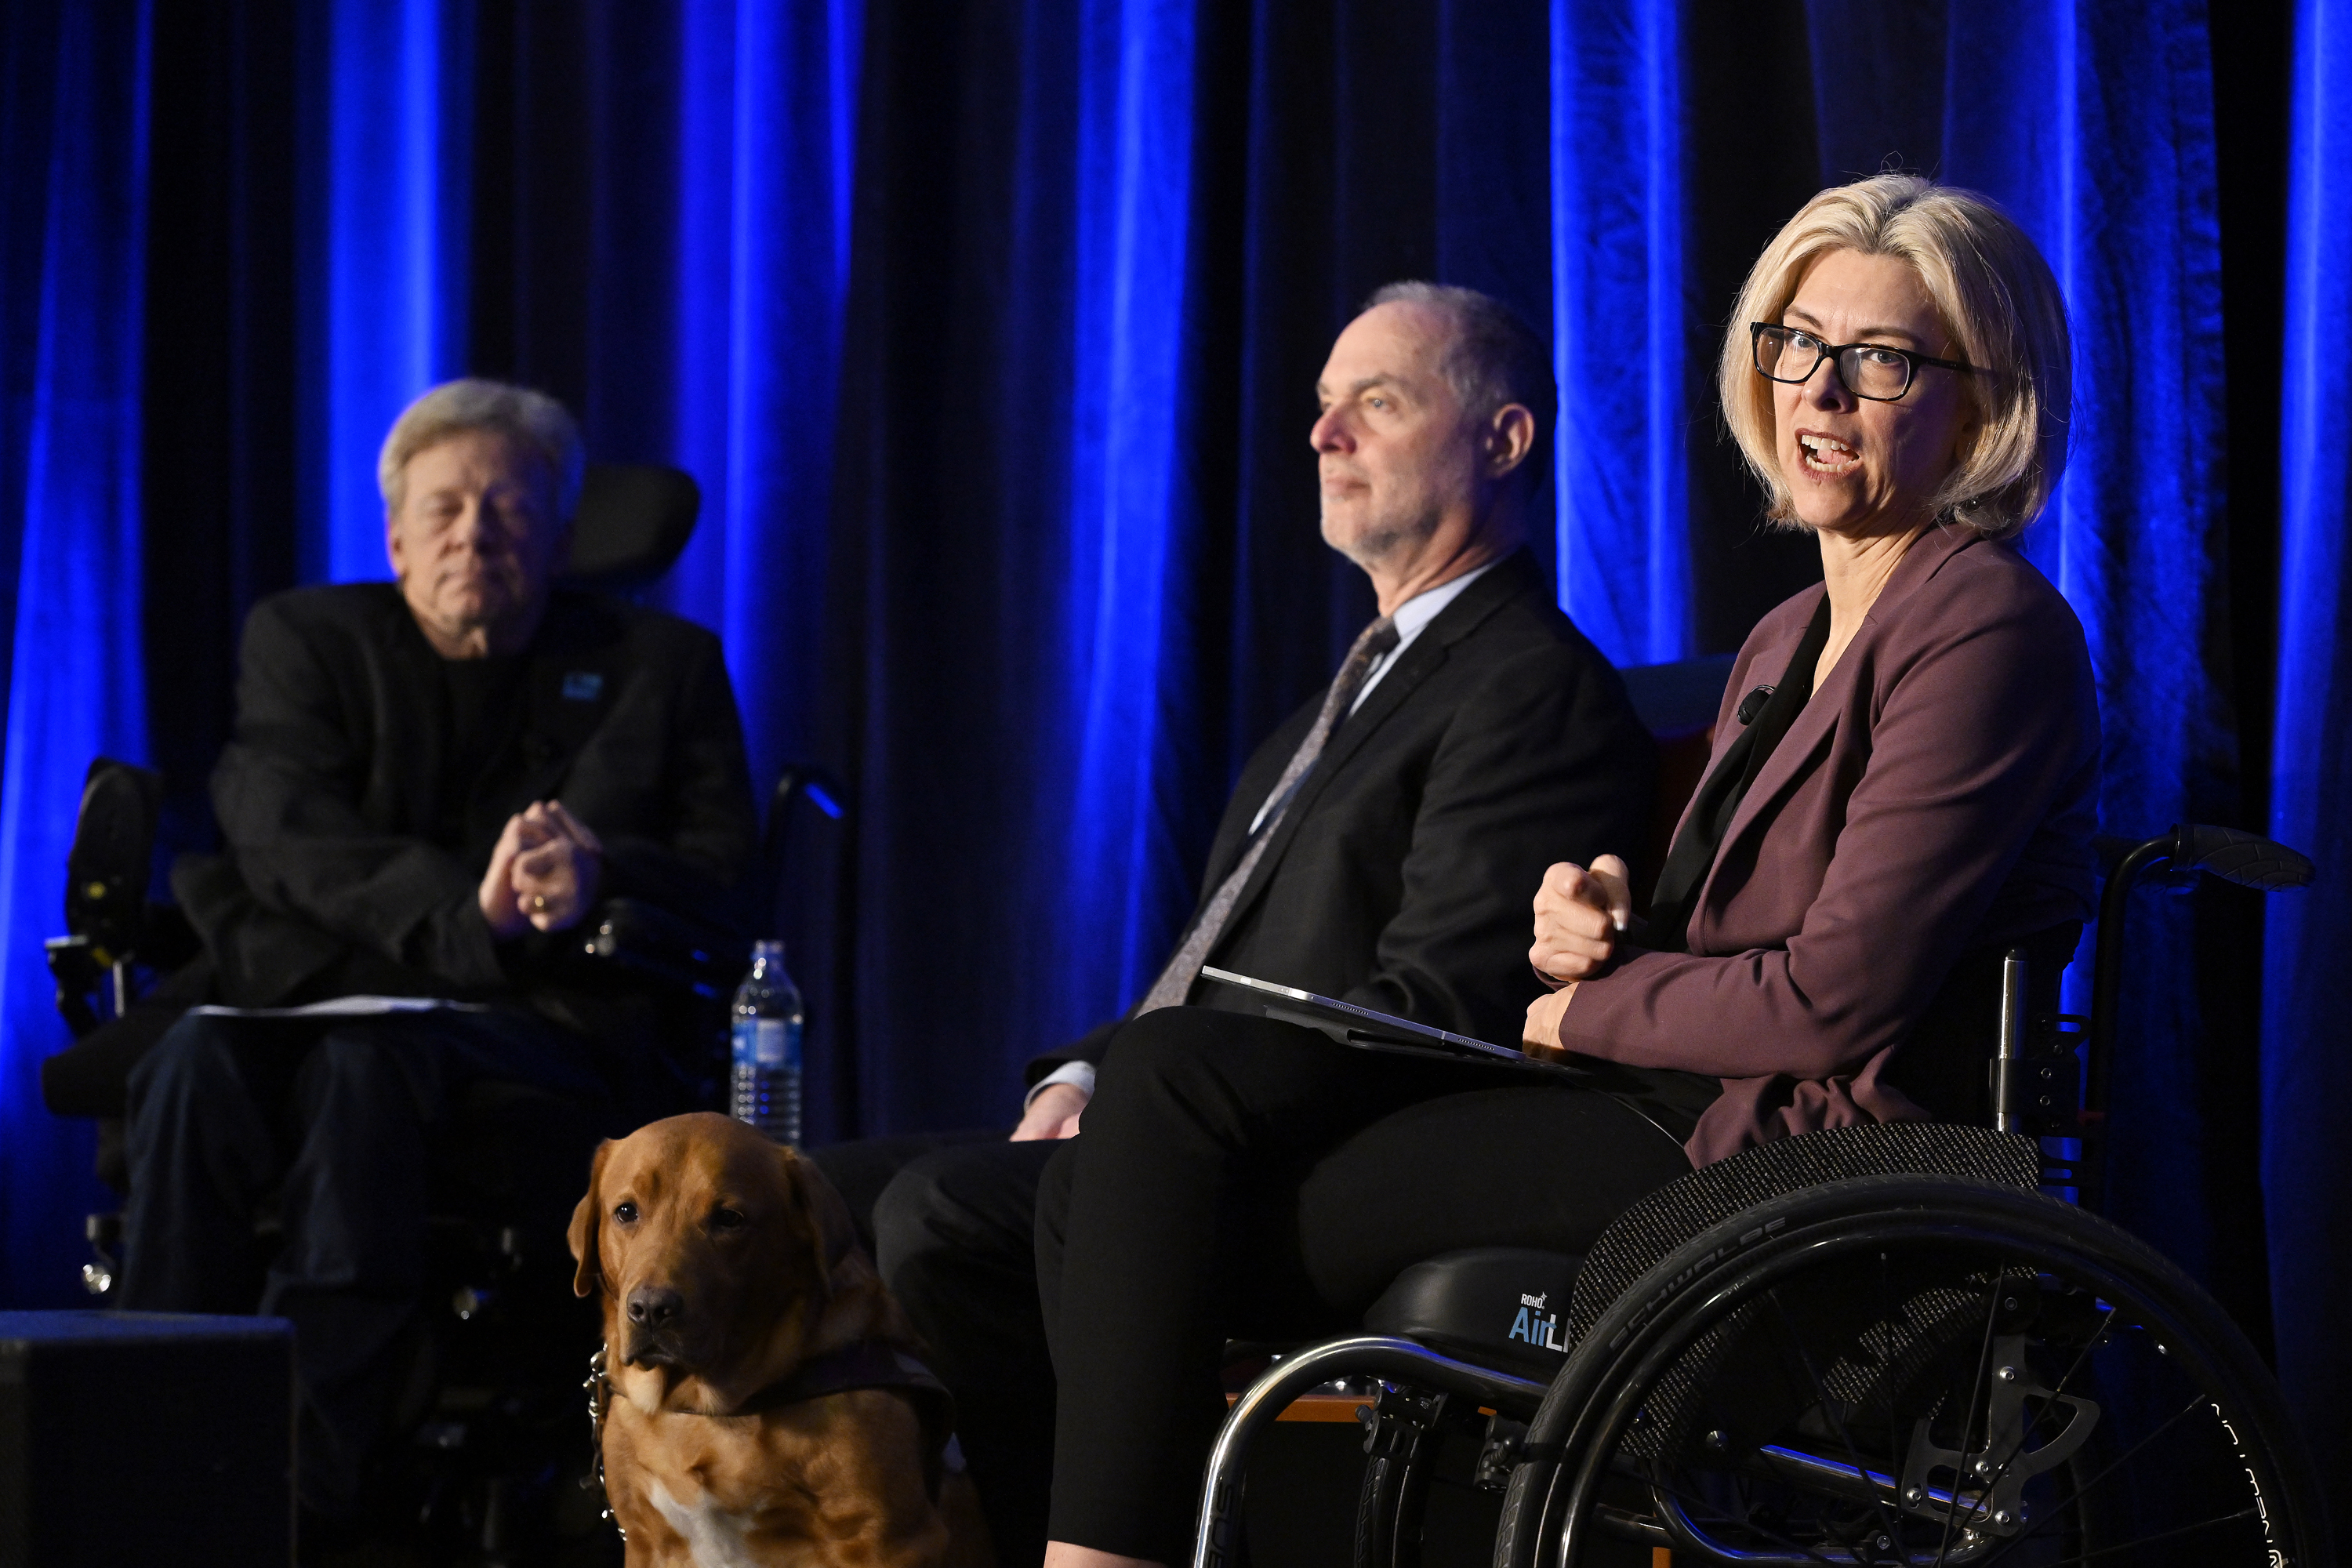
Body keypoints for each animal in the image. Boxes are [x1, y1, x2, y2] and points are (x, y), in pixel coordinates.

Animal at [569, 1114, 983, 1568]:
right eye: (626, 1212)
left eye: (729, 1218)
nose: (650, 1309)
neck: (707, 1410)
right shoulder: (645, 1542)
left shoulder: (891, 1540)